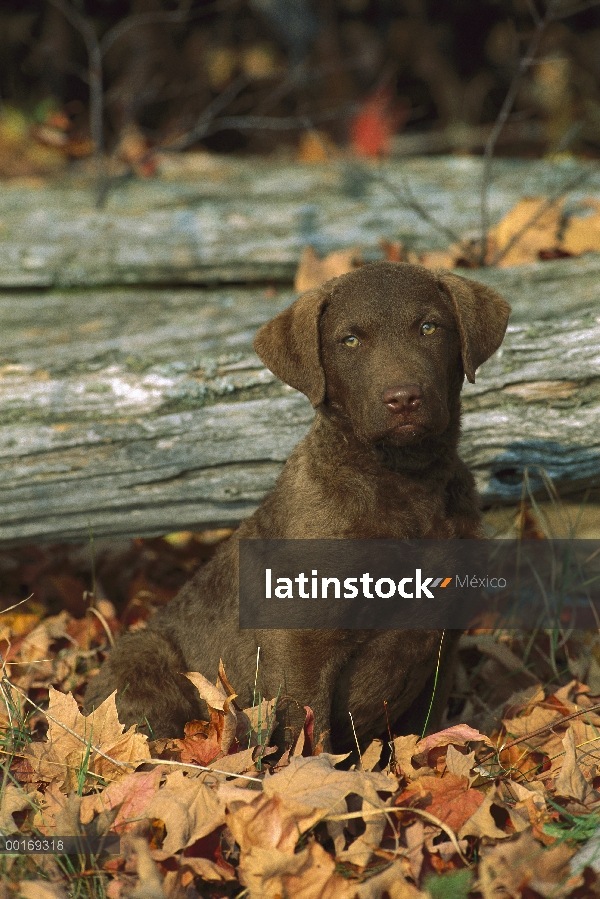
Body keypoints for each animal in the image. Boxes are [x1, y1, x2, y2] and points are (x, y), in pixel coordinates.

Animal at [85, 262, 510, 752]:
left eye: (429, 327)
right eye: (350, 340)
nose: (403, 398)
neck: (405, 481)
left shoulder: (442, 641)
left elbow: (426, 730)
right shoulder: (302, 641)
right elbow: (310, 733)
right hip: (143, 654)